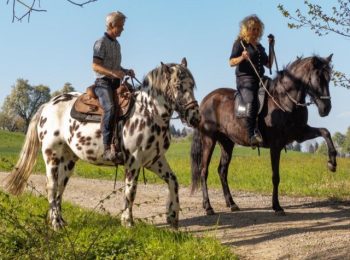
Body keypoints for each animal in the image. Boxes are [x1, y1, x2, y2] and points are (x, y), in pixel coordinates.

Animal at [4, 57, 200, 230]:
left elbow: (173, 181)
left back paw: (60, 221)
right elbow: (131, 191)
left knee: (60, 187)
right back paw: (55, 224)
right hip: (52, 156)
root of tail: (47, 105)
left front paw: (172, 216)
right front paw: (128, 222)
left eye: (192, 85)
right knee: (51, 187)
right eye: (178, 86)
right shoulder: (134, 161)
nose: (195, 117)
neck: (149, 112)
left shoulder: (154, 160)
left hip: (68, 161)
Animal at [191, 54, 336, 215]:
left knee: (222, 171)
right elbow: (275, 176)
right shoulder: (276, 145)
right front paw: (276, 206)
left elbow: (325, 132)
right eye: (318, 78)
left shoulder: (300, 134)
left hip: (227, 143)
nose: (326, 108)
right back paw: (208, 206)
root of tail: (206, 100)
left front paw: (332, 163)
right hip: (209, 140)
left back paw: (232, 203)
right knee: (204, 171)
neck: (284, 100)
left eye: (329, 78)